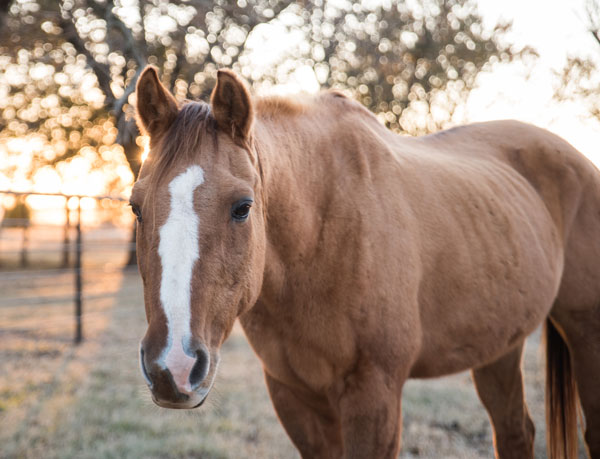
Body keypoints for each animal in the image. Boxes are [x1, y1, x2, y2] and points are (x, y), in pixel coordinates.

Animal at [132, 65, 600, 459]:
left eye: (243, 207)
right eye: (135, 206)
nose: (173, 367)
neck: (320, 240)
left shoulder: (374, 394)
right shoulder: (292, 394)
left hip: (584, 331)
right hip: (499, 343)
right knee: (515, 431)